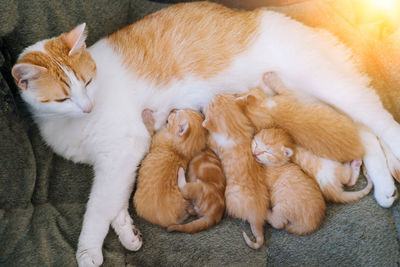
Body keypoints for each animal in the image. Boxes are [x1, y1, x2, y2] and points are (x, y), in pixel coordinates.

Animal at [203, 93, 268, 249]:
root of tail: (257, 217)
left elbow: (208, 140)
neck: (234, 129)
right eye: (221, 95)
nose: (214, 94)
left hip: (229, 196)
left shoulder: (213, 143)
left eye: (210, 104)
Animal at [236, 73, 364, 162]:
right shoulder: (287, 96)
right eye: (257, 144)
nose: (238, 94)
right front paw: (269, 78)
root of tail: (360, 151)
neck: (274, 115)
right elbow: (280, 86)